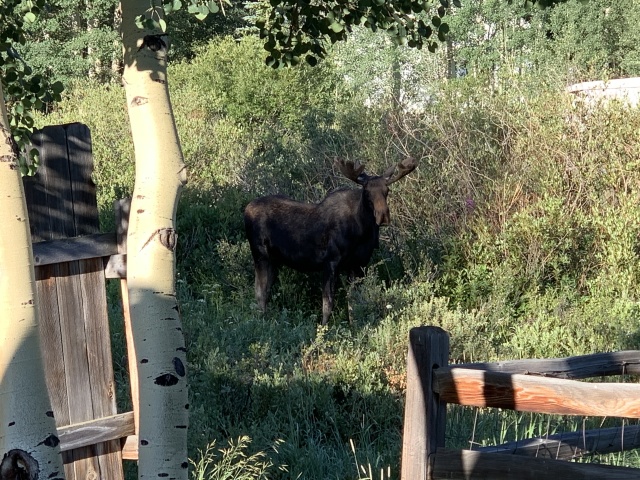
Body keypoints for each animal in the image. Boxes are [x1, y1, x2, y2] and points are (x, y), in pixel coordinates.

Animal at [243, 157, 417, 325]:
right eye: (366, 192)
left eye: (387, 191)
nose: (383, 216)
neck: (362, 231)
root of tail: (246, 209)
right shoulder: (331, 261)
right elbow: (328, 303)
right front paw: (325, 328)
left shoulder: (359, 264)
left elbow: (354, 302)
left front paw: (354, 326)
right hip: (260, 255)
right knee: (259, 292)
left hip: (274, 260)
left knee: (265, 290)